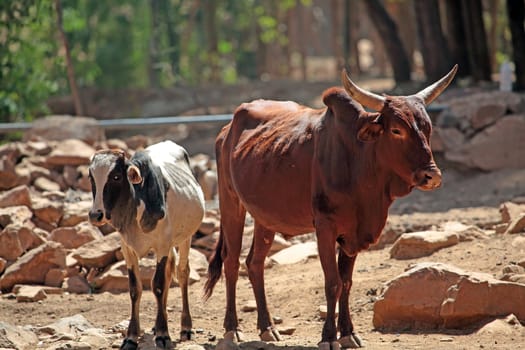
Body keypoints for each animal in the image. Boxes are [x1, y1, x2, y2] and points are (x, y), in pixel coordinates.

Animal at [87, 141, 204, 348]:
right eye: (91, 177)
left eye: (116, 176)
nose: (95, 215)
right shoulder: (128, 250)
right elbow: (135, 289)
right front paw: (132, 336)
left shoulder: (163, 245)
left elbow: (157, 285)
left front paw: (164, 335)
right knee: (168, 274)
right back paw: (158, 325)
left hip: (185, 238)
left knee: (182, 273)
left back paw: (185, 327)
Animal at [207, 65, 456, 348]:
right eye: (396, 130)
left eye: (427, 128)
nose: (432, 176)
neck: (359, 162)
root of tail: (226, 129)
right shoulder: (325, 227)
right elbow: (332, 283)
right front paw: (328, 337)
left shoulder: (353, 233)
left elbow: (346, 282)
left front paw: (348, 333)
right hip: (231, 204)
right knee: (231, 262)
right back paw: (232, 329)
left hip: (265, 217)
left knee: (254, 263)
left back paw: (267, 327)